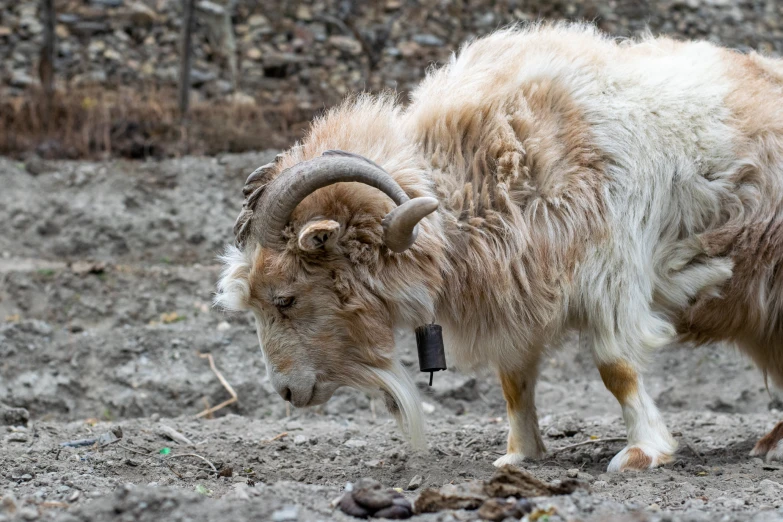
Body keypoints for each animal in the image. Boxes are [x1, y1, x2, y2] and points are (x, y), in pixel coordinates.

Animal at [217, 24, 783, 470]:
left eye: (286, 298)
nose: (287, 392)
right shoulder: (517, 298)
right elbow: (513, 381)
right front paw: (519, 455)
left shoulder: (611, 275)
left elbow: (616, 368)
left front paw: (643, 451)